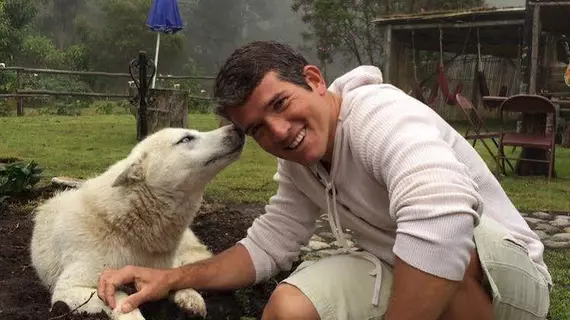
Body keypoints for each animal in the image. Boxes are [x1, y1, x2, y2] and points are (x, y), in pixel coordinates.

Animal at [28, 125, 245, 320]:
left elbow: (172, 277)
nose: (238, 128)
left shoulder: (158, 270)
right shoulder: (69, 288)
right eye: (186, 139)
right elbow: (121, 297)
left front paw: (189, 297)